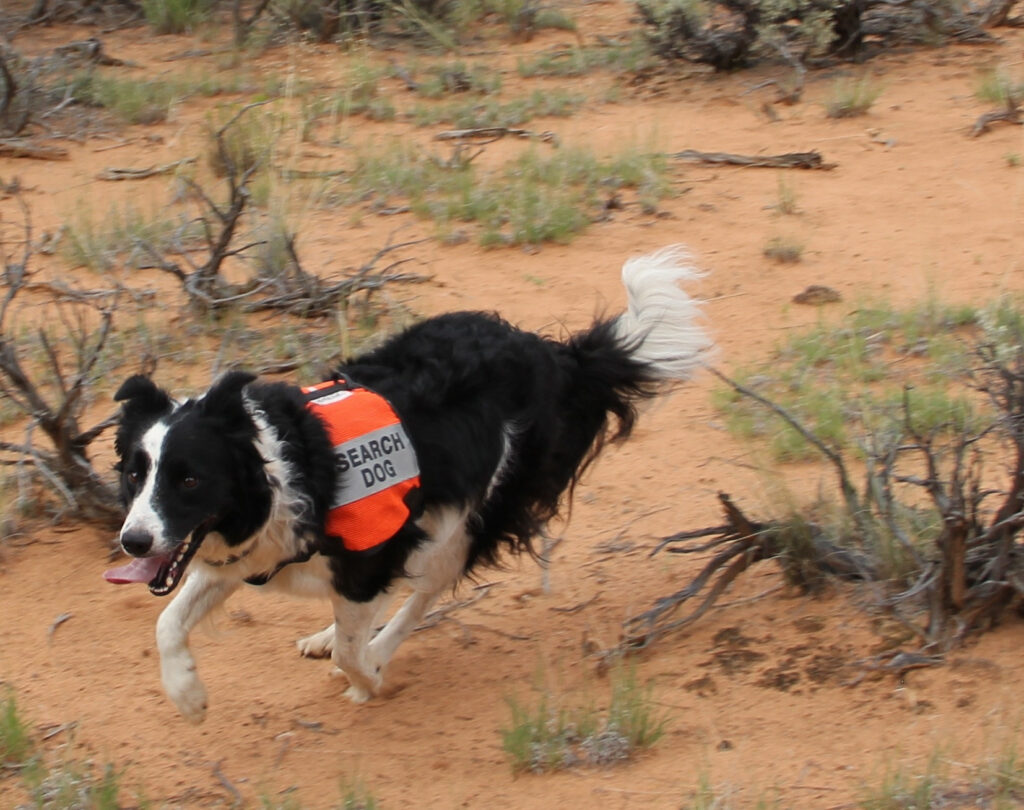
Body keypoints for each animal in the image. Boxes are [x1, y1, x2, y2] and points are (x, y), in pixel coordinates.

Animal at [103, 245, 712, 720]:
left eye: (189, 479)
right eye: (135, 474)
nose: (132, 542)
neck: (284, 472)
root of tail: (554, 353)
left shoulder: (373, 547)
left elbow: (357, 646)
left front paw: (369, 677)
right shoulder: (242, 556)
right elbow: (168, 621)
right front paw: (188, 696)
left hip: (473, 514)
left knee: (425, 589)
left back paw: (373, 649)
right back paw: (332, 634)